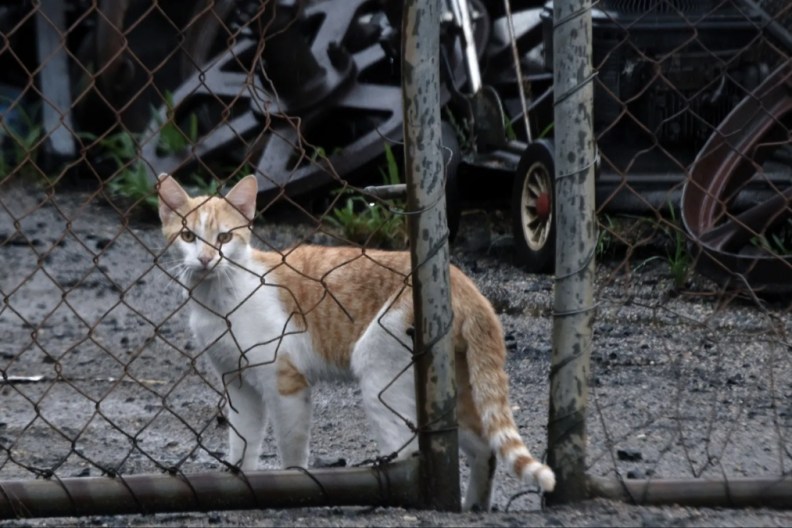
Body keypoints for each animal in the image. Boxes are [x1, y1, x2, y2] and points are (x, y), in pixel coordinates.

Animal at [158, 174, 552, 512]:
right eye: (188, 236)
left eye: (224, 238)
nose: (206, 258)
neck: (219, 298)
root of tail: (464, 282)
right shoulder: (239, 385)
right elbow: (242, 445)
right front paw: (242, 481)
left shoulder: (285, 383)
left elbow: (292, 452)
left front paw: (290, 485)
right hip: (451, 388)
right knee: (484, 447)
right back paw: (475, 504)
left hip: (379, 367)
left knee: (409, 450)